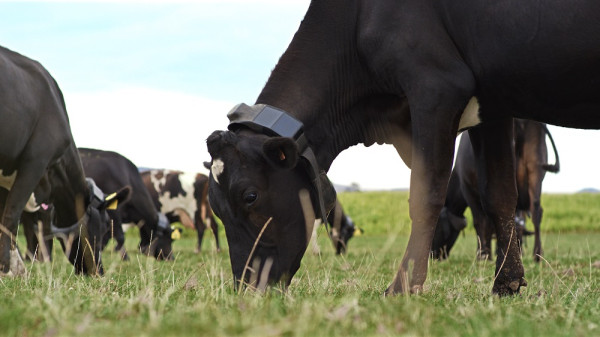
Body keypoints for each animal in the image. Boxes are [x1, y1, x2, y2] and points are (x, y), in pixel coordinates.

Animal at [0, 45, 131, 276]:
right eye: (104, 227)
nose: (98, 271)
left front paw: (17, 268)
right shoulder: (35, 162)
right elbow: (11, 215)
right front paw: (7, 269)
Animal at [428, 120, 560, 260]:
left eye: (435, 226)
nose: (432, 254)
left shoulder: (468, 190)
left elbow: (480, 222)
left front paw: (483, 254)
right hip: (535, 169)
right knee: (535, 211)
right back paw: (537, 254)